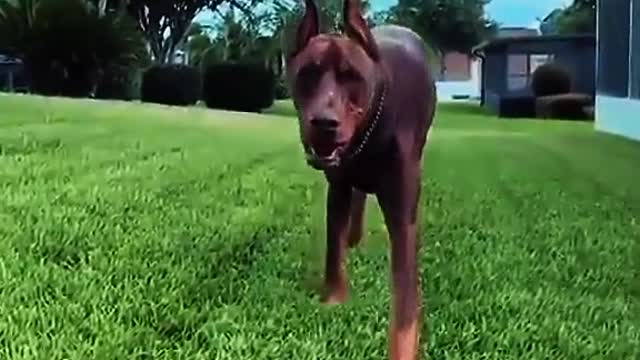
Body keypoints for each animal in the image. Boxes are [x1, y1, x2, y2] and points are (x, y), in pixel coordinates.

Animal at [284, 0, 436, 358]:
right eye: (308, 73)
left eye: (352, 77)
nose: (324, 123)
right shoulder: (337, 189)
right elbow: (333, 250)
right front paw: (333, 300)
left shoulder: (401, 210)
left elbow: (405, 292)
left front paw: (402, 348)